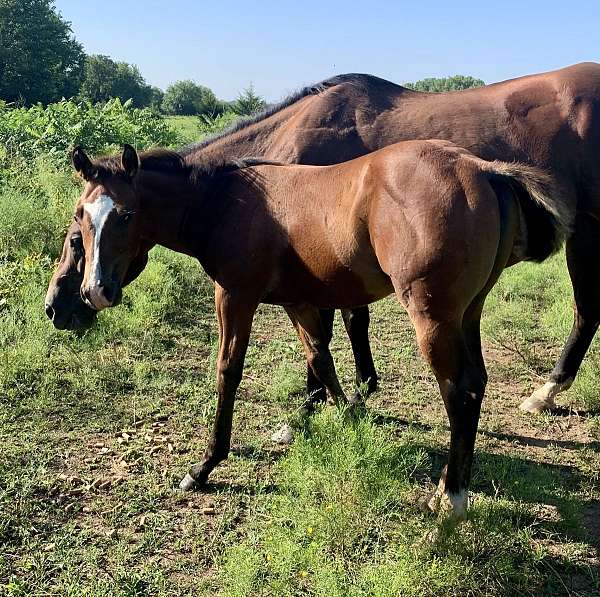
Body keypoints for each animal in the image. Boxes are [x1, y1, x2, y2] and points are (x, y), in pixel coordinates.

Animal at [45, 62, 600, 412]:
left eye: (74, 235)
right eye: (79, 222)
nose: (57, 307)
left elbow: (329, 331)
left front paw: (317, 403)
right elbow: (346, 324)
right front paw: (357, 387)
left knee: (586, 310)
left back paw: (546, 392)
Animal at [68, 141, 568, 516]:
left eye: (126, 214)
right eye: (80, 215)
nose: (95, 291)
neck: (226, 203)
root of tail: (484, 170)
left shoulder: (235, 295)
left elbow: (229, 371)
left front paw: (205, 466)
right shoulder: (299, 301)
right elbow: (320, 358)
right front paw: (346, 415)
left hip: (434, 317)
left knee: (459, 390)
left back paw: (451, 501)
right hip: (469, 313)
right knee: (477, 383)